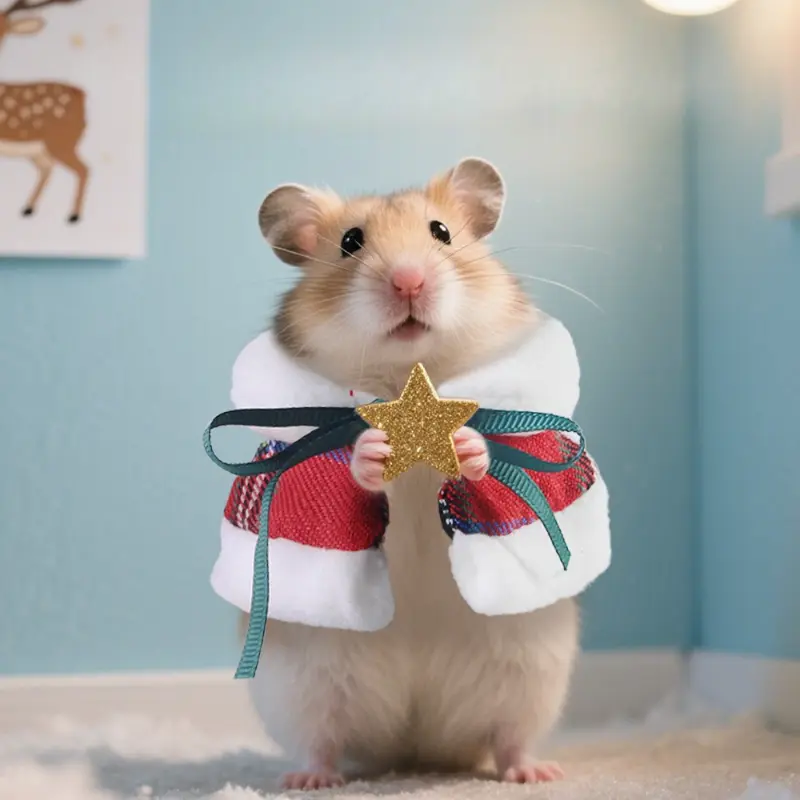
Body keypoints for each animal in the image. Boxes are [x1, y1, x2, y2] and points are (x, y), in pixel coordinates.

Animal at [247, 158, 579, 790]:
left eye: (441, 232)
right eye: (351, 242)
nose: (407, 281)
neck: (408, 377)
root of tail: (416, 745)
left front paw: (468, 447)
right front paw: (372, 450)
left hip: (532, 672)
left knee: (510, 738)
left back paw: (537, 774)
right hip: (299, 681)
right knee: (322, 740)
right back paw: (311, 781)